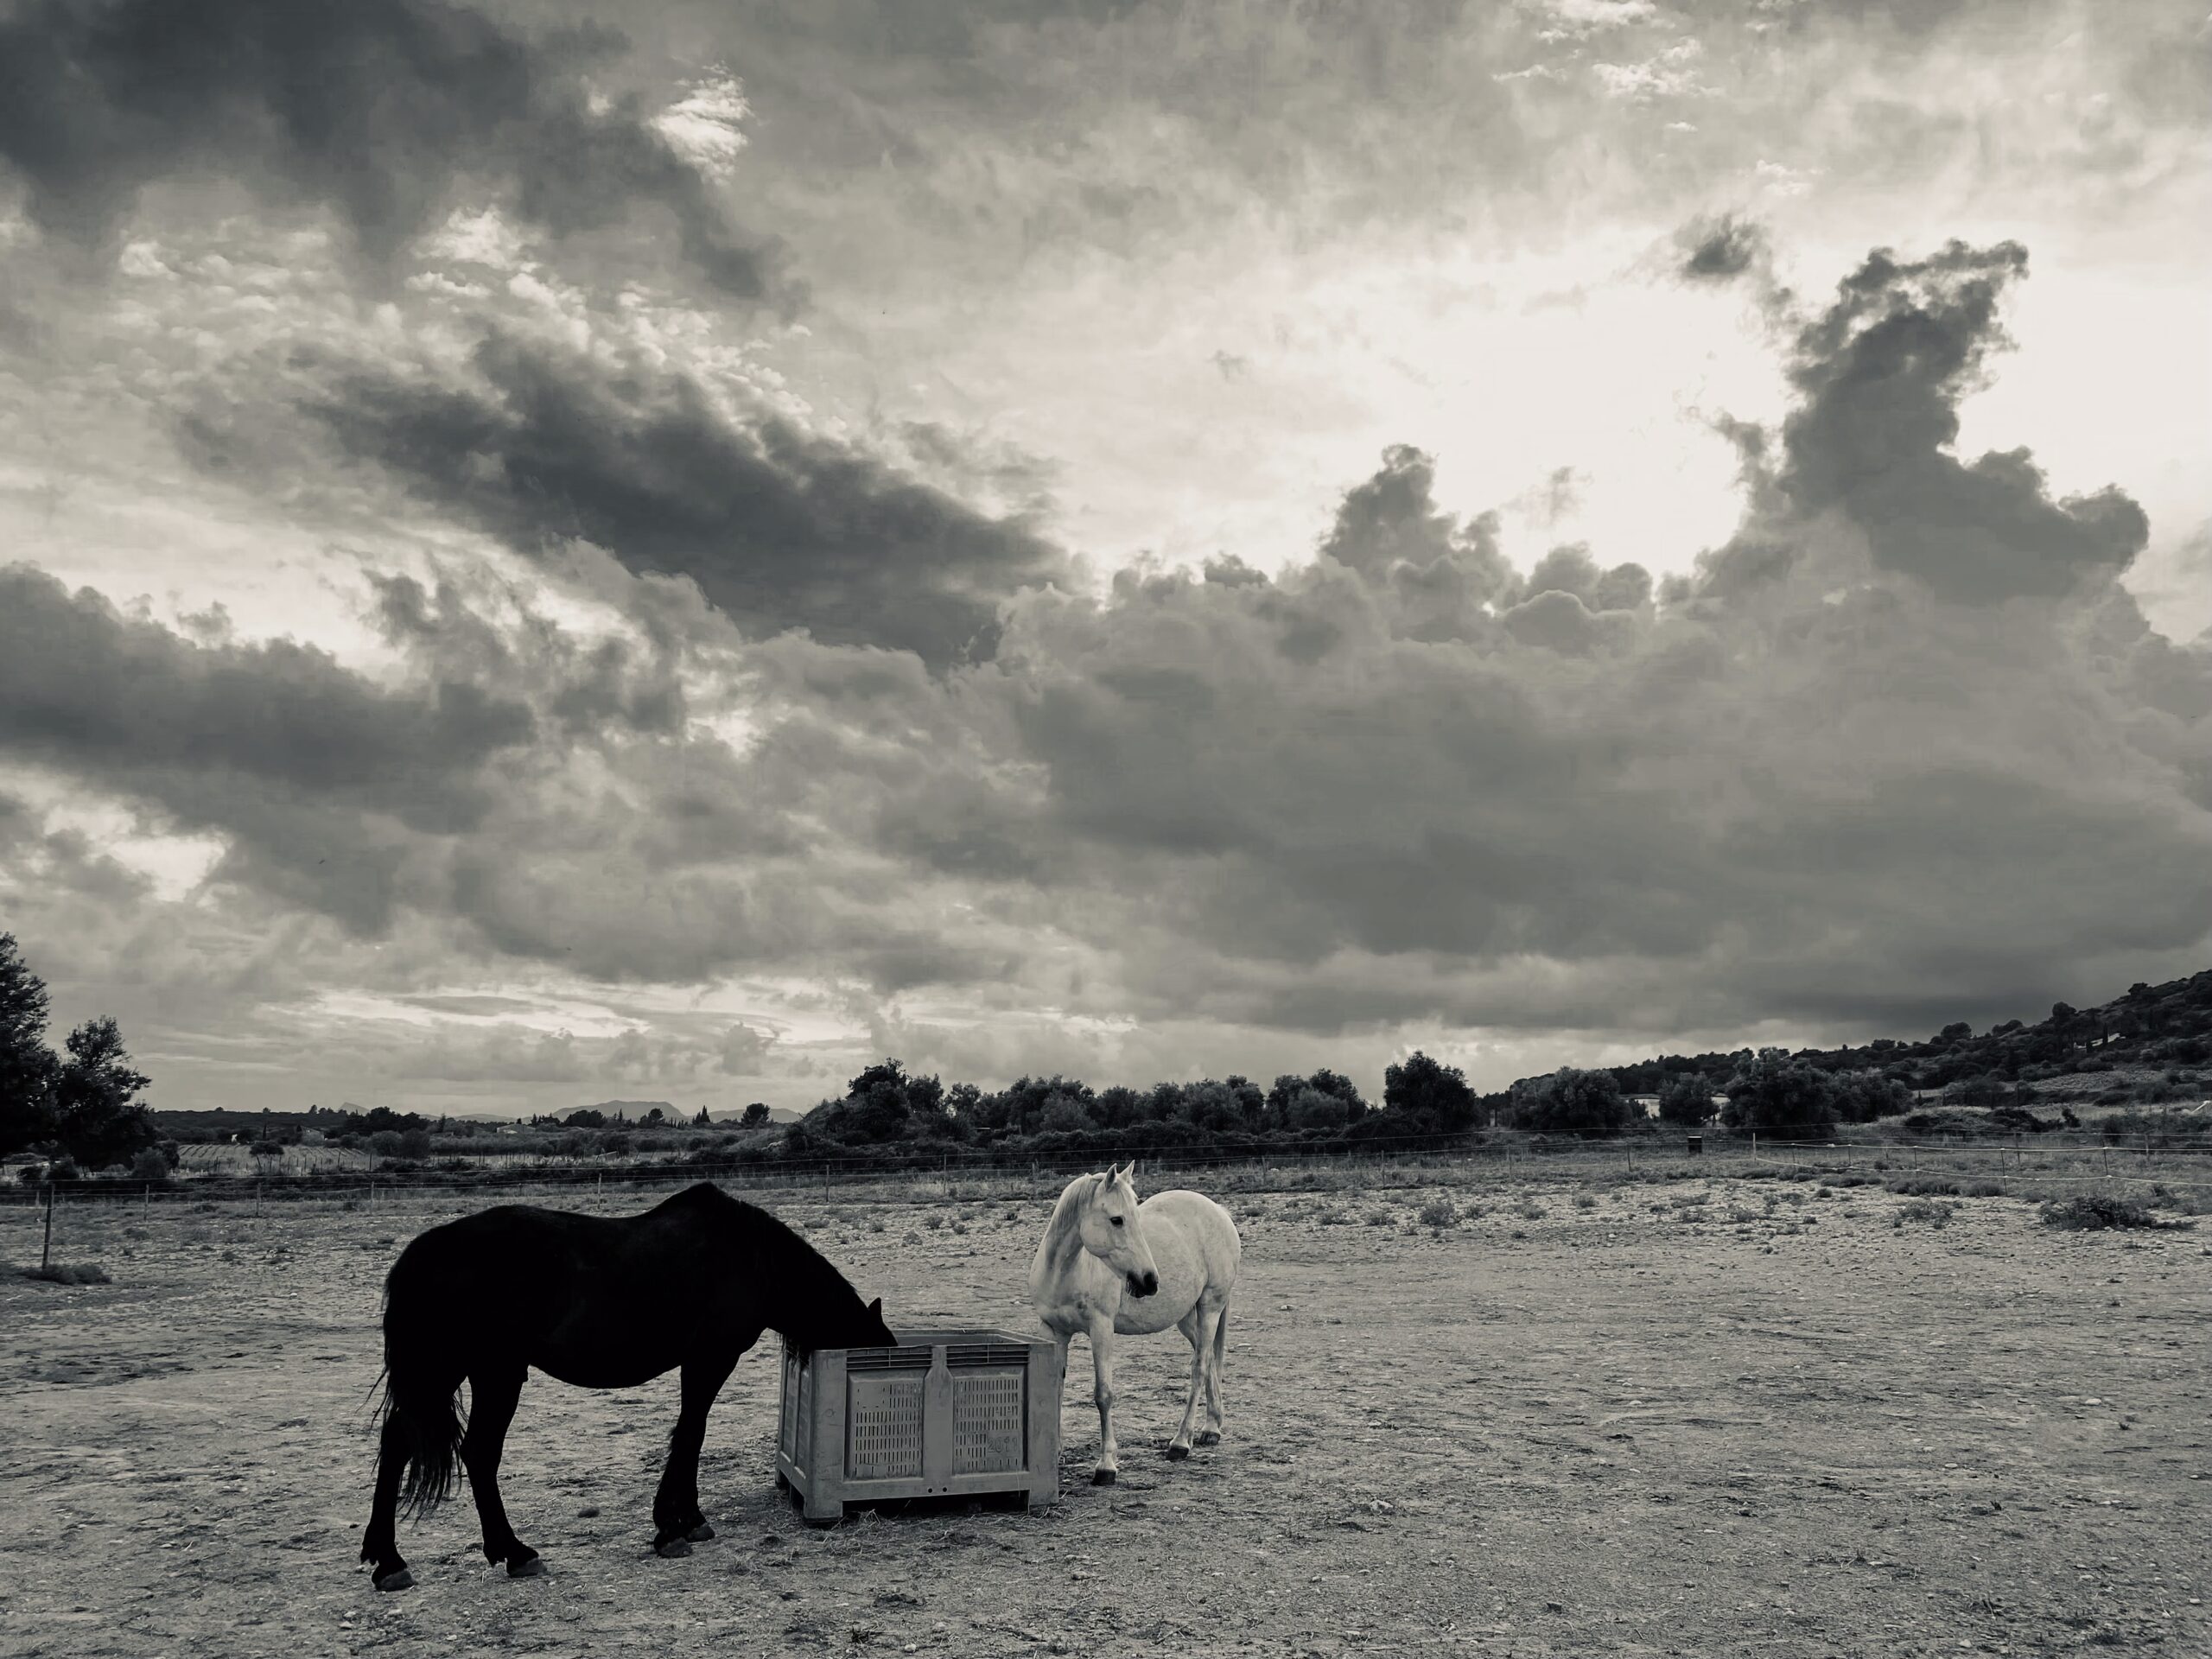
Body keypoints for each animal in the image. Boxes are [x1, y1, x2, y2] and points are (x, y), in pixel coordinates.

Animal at [360, 1182, 896, 1592]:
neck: (753, 1259)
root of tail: (425, 1252)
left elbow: (690, 1433)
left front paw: (688, 1520)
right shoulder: (710, 1359)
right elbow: (691, 1433)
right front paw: (671, 1528)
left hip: (453, 1375)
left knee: (399, 1442)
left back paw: (388, 1561)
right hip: (489, 1373)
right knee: (476, 1452)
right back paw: (512, 1553)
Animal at [1028, 1163, 1242, 1484]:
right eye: (1117, 1220)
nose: (1149, 1281)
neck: (1065, 1270)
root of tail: (1219, 1211)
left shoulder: (1101, 1329)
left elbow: (1103, 1395)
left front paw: (1106, 1466)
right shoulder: (1053, 1330)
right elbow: (1055, 1386)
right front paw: (1054, 1453)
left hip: (1210, 1307)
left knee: (1200, 1367)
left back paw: (1181, 1442)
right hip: (1186, 1318)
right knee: (1208, 1362)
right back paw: (1211, 1428)